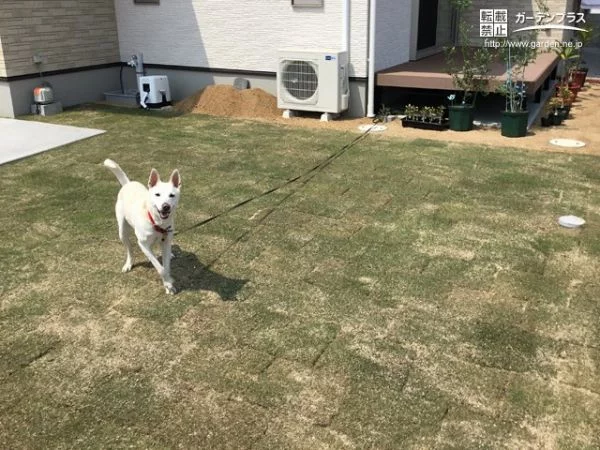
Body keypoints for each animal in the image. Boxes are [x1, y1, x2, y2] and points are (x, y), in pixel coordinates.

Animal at [104, 159, 182, 296]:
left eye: (172, 195)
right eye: (157, 195)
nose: (166, 206)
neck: (156, 222)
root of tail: (128, 183)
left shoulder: (166, 239)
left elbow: (166, 265)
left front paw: (168, 284)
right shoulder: (142, 244)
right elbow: (161, 268)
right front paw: (168, 282)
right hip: (122, 232)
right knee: (130, 250)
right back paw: (129, 263)